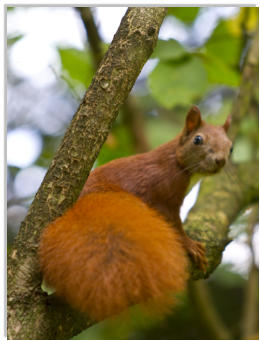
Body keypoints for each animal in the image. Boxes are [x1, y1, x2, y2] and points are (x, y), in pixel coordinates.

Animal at [38, 105, 232, 322]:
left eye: (231, 147)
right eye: (198, 140)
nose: (220, 160)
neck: (178, 161)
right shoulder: (163, 193)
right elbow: (173, 222)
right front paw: (190, 244)